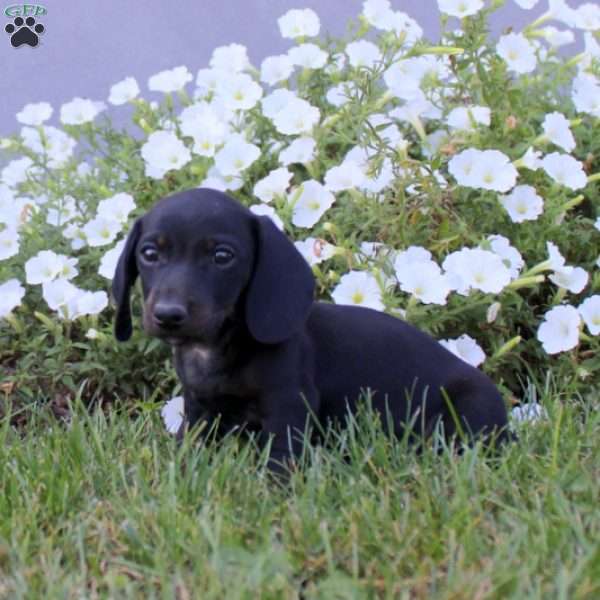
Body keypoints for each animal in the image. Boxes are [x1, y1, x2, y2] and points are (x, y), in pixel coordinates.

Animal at [113, 190, 510, 472]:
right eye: (149, 254)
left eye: (222, 256)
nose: (168, 315)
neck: (216, 347)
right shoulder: (199, 408)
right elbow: (189, 443)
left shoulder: (288, 405)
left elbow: (279, 459)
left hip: (468, 410)